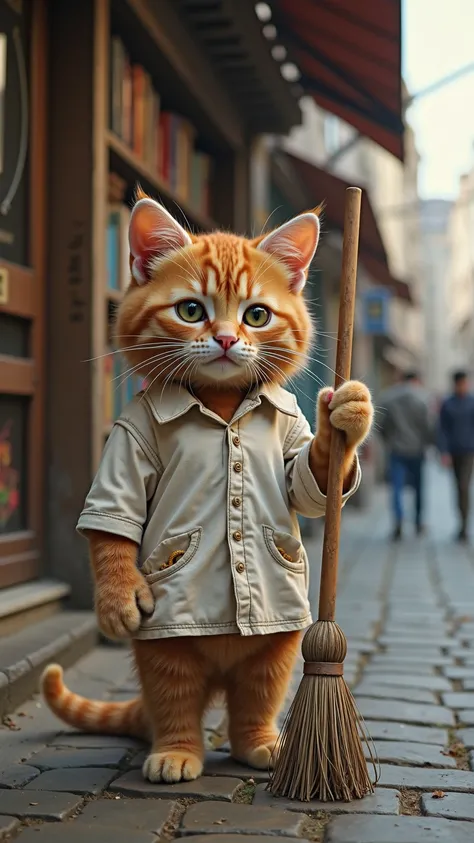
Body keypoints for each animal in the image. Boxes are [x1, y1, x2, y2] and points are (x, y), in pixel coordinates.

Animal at [41, 196, 374, 784]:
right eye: (192, 310)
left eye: (256, 315)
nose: (224, 338)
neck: (219, 400)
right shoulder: (127, 440)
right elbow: (113, 522)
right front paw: (115, 598)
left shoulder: (290, 444)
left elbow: (307, 484)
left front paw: (346, 415)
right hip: (168, 651)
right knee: (175, 694)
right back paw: (176, 752)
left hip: (278, 645)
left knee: (256, 696)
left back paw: (262, 745)